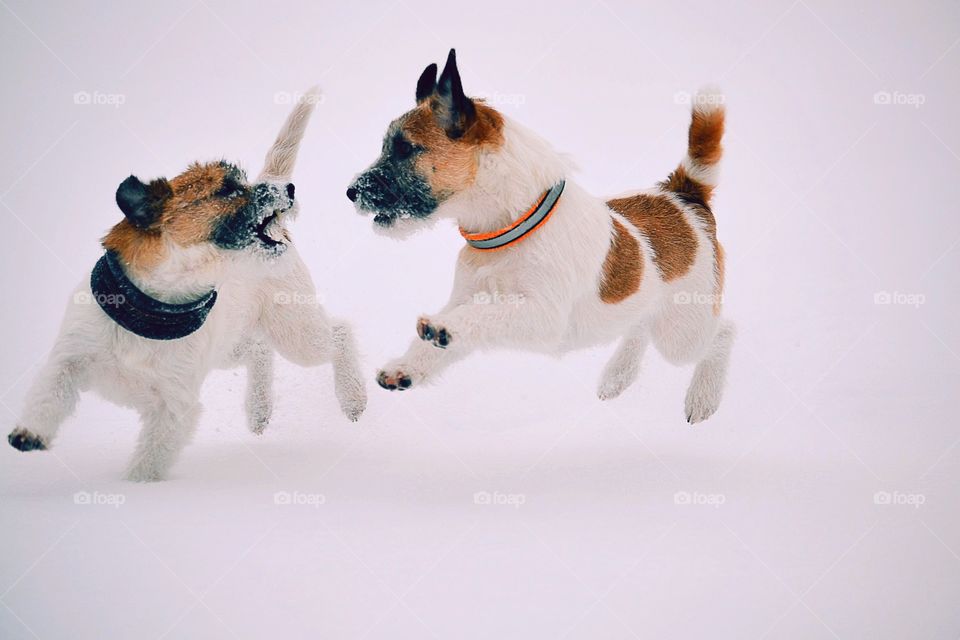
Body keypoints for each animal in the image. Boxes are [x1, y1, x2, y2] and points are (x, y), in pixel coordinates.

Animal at [6, 91, 368, 480]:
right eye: (227, 189)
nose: (288, 188)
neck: (150, 309)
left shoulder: (174, 408)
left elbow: (149, 462)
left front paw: (139, 489)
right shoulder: (69, 359)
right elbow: (48, 394)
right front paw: (29, 433)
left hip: (295, 332)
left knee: (340, 334)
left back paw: (353, 398)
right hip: (230, 347)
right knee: (259, 349)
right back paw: (259, 410)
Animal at [352, 51, 736, 424]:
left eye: (405, 148)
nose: (350, 191)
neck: (510, 230)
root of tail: (682, 195)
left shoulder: (544, 316)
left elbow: (483, 313)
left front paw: (445, 328)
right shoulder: (465, 296)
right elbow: (437, 340)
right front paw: (406, 367)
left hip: (683, 332)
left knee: (723, 332)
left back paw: (704, 398)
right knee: (638, 325)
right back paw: (618, 376)